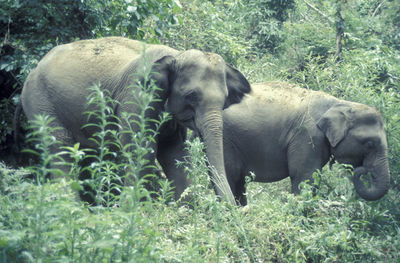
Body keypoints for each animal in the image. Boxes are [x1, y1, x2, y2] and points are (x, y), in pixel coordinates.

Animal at [15, 36, 250, 204]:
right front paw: (132, 212)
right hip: (41, 104)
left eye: (224, 100)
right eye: (191, 96)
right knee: (59, 149)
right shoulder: (136, 96)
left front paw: (186, 211)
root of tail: (32, 71)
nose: (233, 209)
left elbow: (175, 153)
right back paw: (72, 209)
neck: (175, 55)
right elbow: (141, 148)